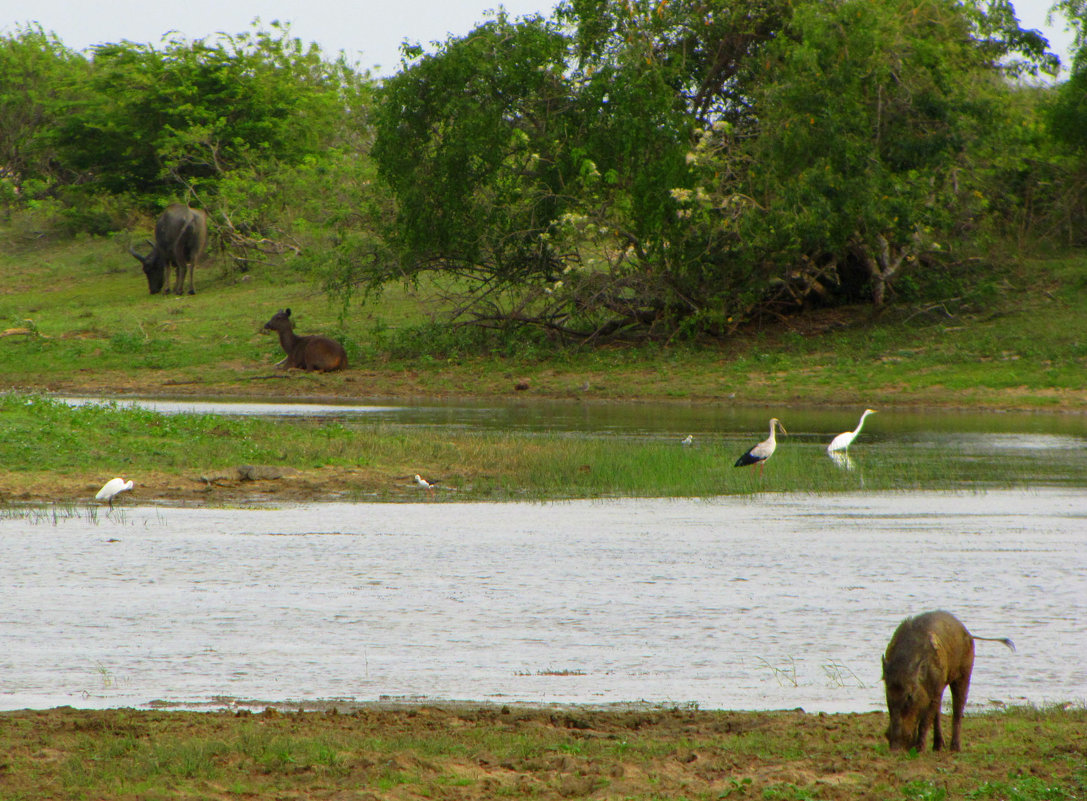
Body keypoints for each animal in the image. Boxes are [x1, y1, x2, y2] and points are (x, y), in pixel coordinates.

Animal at [878, 612, 1013, 747]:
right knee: (939, 712)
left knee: (957, 708)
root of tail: (968, 633)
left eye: (909, 696)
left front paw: (919, 749)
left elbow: (925, 722)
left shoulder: (935, 691)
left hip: (964, 674)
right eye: (887, 693)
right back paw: (938, 746)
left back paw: (955, 747)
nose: (895, 748)